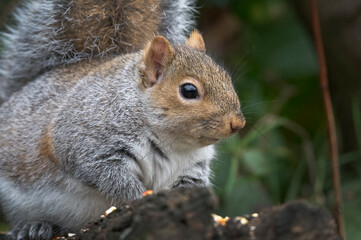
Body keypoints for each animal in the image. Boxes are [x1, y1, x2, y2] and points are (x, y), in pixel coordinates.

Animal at [0, 0, 245, 240]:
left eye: (226, 78)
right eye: (189, 90)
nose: (238, 123)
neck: (173, 142)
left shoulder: (193, 167)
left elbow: (189, 187)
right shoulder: (86, 142)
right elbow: (109, 177)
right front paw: (139, 197)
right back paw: (33, 227)